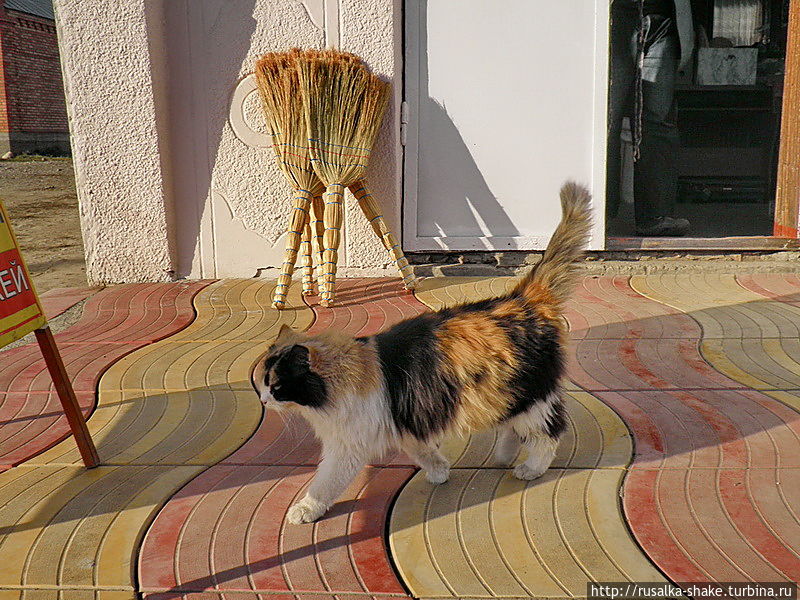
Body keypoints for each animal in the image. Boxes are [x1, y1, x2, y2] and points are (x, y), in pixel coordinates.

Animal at [253, 180, 592, 524]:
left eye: (276, 385)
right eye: (263, 383)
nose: (263, 401)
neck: (344, 373)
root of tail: (524, 298)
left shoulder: (348, 445)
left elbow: (325, 484)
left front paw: (305, 510)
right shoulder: (404, 422)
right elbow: (423, 451)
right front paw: (440, 471)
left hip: (530, 397)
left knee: (548, 434)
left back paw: (530, 468)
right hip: (504, 396)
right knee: (514, 427)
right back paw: (504, 455)